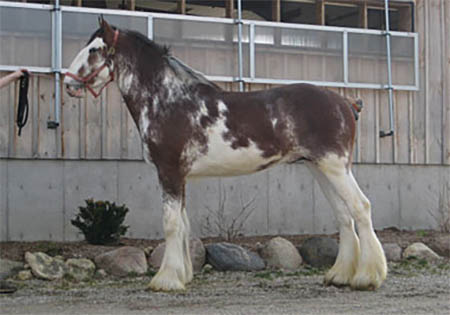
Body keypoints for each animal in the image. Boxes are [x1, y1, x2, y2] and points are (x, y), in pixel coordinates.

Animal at [63, 17, 386, 292]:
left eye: (94, 49)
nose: (68, 82)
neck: (168, 100)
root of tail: (345, 102)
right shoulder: (180, 177)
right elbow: (183, 224)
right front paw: (182, 275)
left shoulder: (168, 171)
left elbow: (171, 224)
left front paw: (166, 280)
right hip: (319, 168)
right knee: (344, 215)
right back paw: (340, 275)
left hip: (335, 167)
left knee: (361, 207)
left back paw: (368, 277)